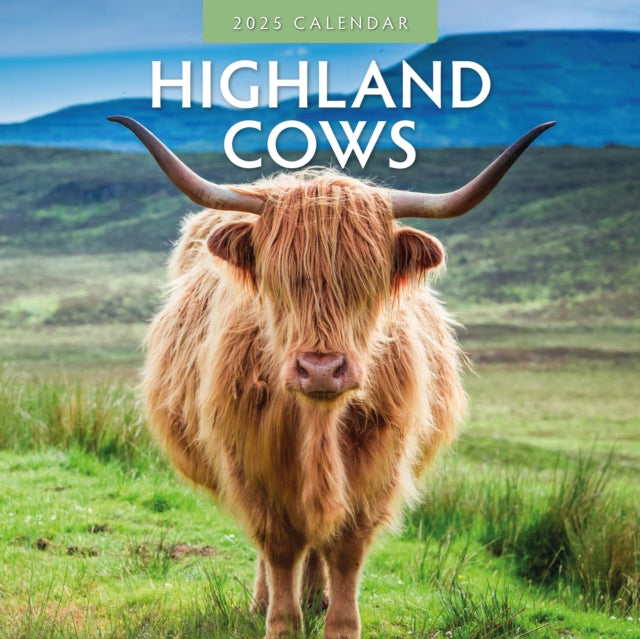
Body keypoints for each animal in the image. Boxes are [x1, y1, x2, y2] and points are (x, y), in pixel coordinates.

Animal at [108, 115, 554, 639]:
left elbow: (345, 549)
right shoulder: (249, 463)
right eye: (279, 280)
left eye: (367, 281)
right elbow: (278, 546)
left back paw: (315, 596)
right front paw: (281, 621)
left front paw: (338, 622)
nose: (320, 369)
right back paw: (265, 600)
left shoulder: (378, 466)